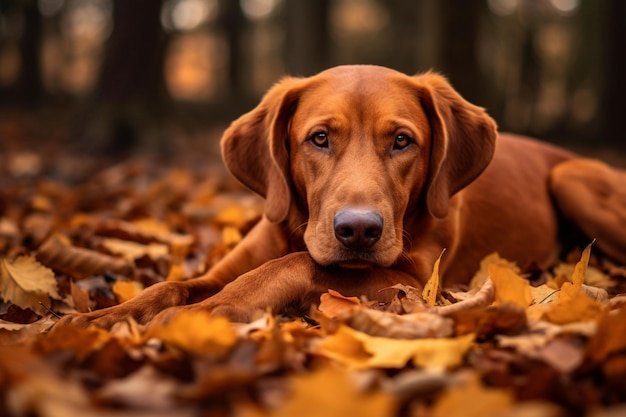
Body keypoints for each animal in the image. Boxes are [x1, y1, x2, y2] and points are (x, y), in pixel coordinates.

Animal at [59, 64, 624, 324]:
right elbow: (169, 284)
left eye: (402, 141)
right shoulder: (231, 261)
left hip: (573, 179)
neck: (299, 229)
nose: (358, 231)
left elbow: (294, 265)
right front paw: (101, 319)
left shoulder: (417, 285)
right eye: (319, 138)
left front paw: (208, 312)